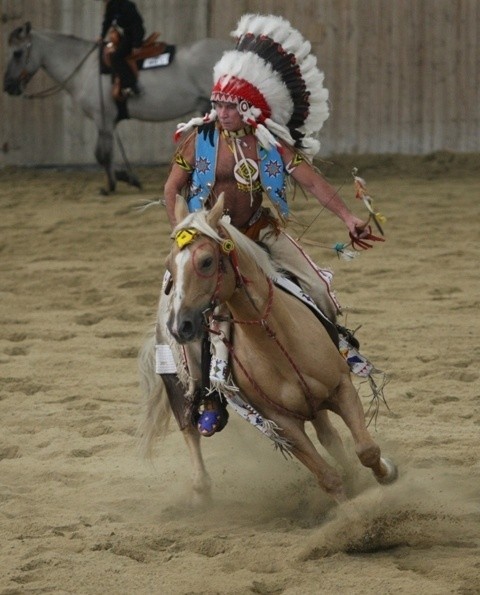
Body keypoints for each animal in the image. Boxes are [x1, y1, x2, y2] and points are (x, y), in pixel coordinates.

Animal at [2, 22, 231, 193]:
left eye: (17, 53)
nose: (8, 86)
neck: (86, 68)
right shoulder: (108, 122)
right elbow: (106, 153)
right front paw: (126, 177)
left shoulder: (102, 118)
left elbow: (101, 154)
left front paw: (114, 183)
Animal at [139, 196, 398, 508]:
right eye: (170, 265)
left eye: (206, 261)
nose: (180, 326)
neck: (277, 342)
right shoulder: (281, 424)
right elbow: (327, 477)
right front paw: (351, 511)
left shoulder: (341, 389)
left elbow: (367, 450)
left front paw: (387, 473)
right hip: (178, 381)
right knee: (190, 430)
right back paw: (201, 493)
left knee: (330, 435)